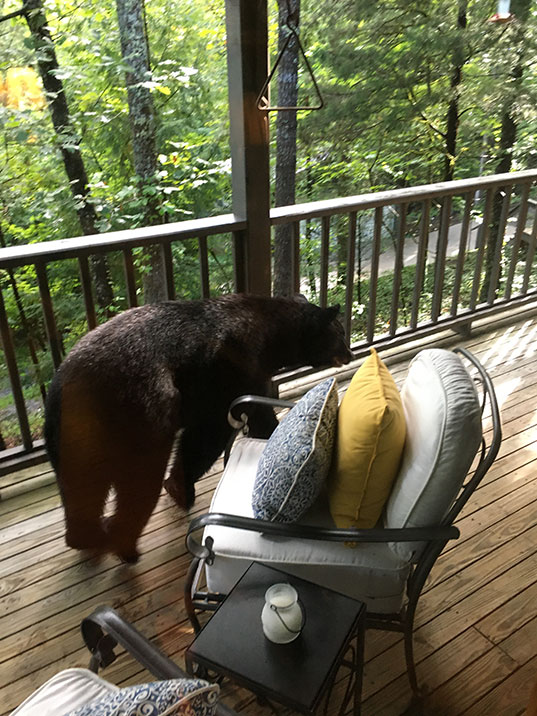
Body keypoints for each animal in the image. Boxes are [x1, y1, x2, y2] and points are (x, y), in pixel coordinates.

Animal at [43, 294, 352, 564]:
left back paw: (84, 536)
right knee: (138, 481)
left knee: (82, 487)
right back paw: (125, 546)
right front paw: (180, 486)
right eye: (341, 333)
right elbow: (209, 431)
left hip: (72, 436)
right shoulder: (230, 369)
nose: (349, 353)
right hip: (139, 413)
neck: (271, 336)